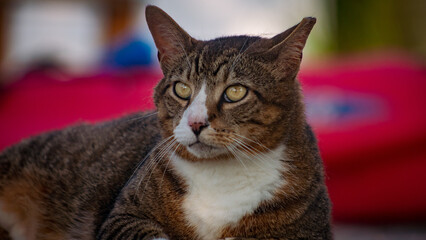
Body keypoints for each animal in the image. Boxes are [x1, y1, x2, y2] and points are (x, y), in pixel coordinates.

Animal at [0, 5, 332, 240]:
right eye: (181, 89)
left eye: (236, 92)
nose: (196, 123)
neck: (221, 175)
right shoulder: (122, 217)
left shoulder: (308, 232)